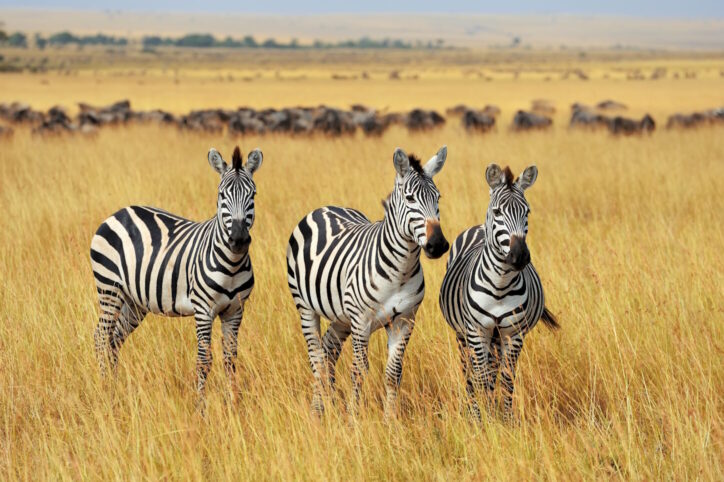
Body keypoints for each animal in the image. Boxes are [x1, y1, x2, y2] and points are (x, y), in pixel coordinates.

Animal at [89, 145, 262, 404]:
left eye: (253, 195)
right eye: (222, 195)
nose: (239, 240)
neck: (231, 265)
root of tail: (119, 212)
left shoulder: (235, 311)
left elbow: (230, 360)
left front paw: (234, 405)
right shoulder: (203, 310)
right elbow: (204, 361)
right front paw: (201, 407)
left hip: (134, 301)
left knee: (114, 339)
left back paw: (115, 390)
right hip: (109, 289)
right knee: (101, 337)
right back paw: (104, 391)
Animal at [288, 145, 446, 416]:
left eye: (438, 198)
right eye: (410, 199)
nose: (438, 245)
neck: (400, 271)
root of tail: (325, 207)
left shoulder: (405, 320)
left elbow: (394, 373)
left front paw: (390, 419)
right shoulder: (361, 321)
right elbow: (359, 371)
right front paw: (354, 418)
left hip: (342, 315)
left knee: (328, 350)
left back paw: (327, 405)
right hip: (306, 307)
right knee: (317, 358)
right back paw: (317, 412)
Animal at [438, 164, 556, 420]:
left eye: (527, 212)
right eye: (498, 211)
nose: (520, 255)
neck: (500, 284)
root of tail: (479, 227)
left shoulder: (514, 333)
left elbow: (507, 379)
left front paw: (506, 418)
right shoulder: (476, 330)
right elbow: (481, 378)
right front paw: (482, 419)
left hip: (497, 337)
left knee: (493, 370)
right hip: (464, 335)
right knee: (469, 373)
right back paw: (473, 408)